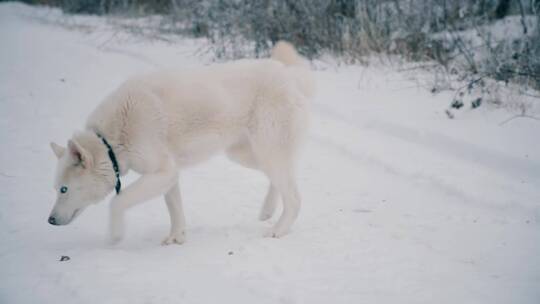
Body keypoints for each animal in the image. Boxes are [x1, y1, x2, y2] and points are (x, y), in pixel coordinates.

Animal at [49, 41, 316, 245]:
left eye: (64, 189)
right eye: (57, 189)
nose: (49, 221)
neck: (110, 141)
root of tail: (289, 75)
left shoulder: (162, 172)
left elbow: (118, 201)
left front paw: (115, 235)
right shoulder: (169, 174)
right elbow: (174, 208)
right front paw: (177, 238)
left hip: (266, 152)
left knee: (294, 197)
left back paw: (278, 230)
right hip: (247, 155)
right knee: (282, 179)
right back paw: (267, 211)